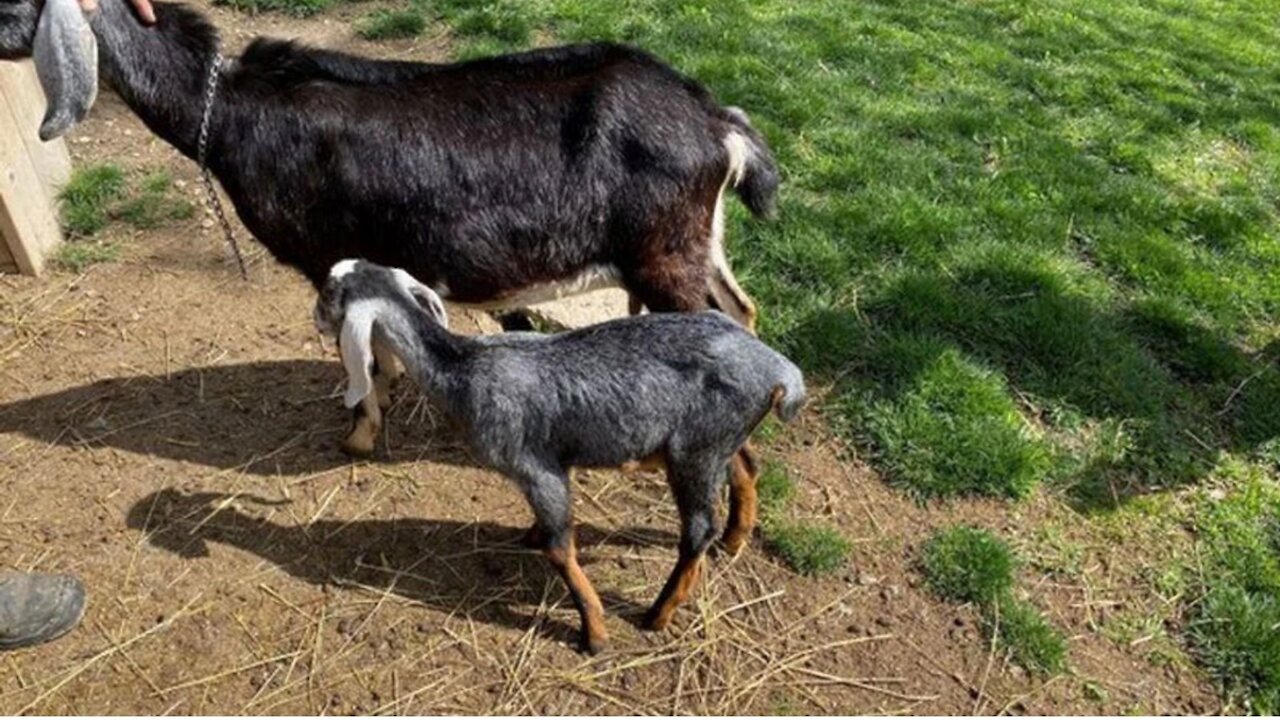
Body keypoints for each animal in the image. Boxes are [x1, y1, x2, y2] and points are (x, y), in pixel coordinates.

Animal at [314, 258, 803, 650]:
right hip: (720, 439)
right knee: (746, 468)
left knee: (698, 530)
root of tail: (779, 369)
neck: (462, 368)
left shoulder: (537, 467)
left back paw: (658, 614)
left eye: (329, 293)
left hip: (694, 453)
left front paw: (595, 634)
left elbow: (559, 548)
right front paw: (529, 535)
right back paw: (734, 541)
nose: (315, 318)